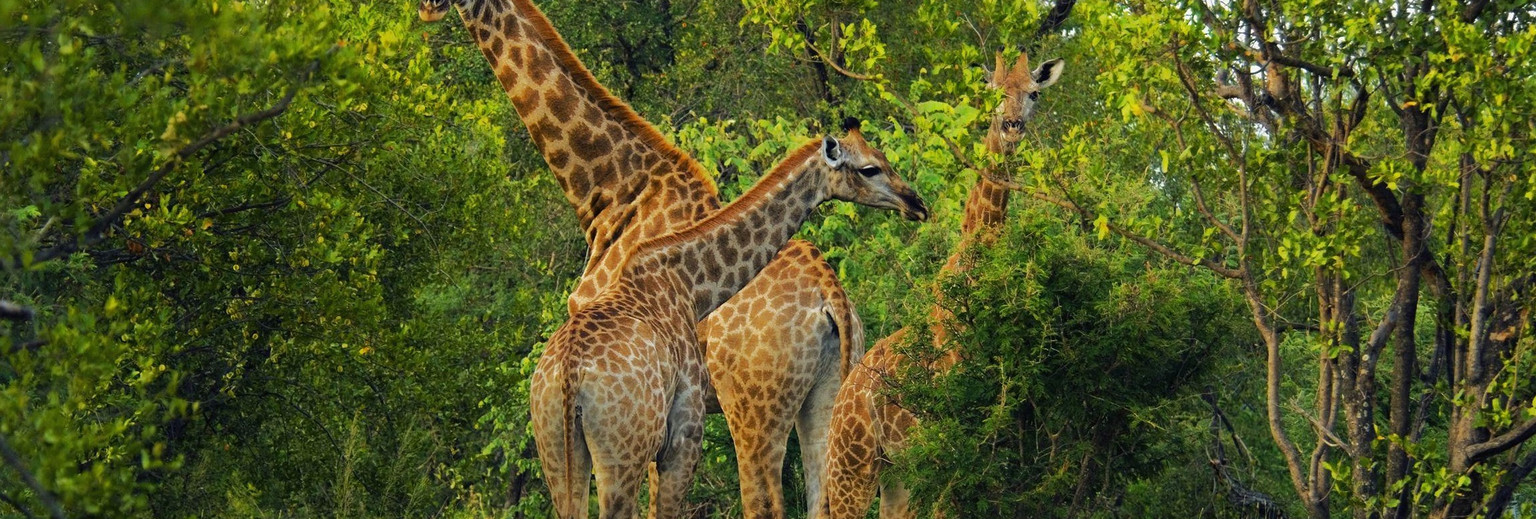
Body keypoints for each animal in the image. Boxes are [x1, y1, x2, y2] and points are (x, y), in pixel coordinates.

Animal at [528, 126, 933, 519]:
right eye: (870, 168)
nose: (916, 203)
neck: (688, 283)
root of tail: (569, 375)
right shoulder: (684, 433)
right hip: (630, 448)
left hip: (557, 447)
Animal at [823, 49, 1062, 519]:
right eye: (993, 93)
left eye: (1033, 93)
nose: (1012, 126)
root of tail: (841, 403)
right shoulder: (945, 432)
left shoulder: (984, 427)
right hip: (854, 467)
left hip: (894, 473)